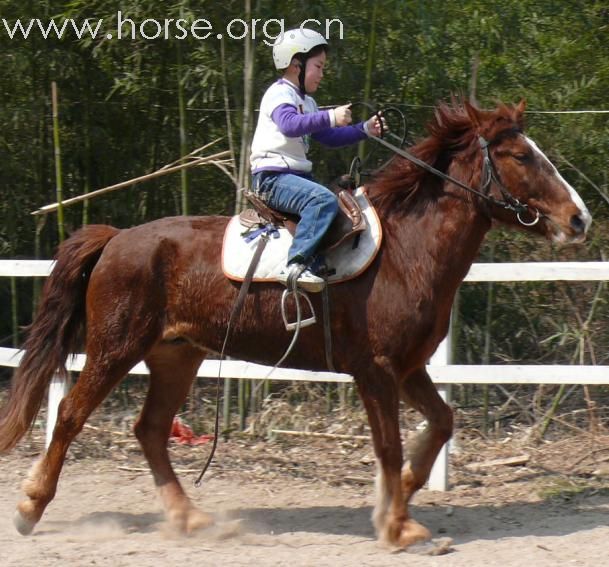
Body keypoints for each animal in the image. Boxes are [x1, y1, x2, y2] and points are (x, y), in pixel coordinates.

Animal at [0, 100, 588, 548]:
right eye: (520, 155)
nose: (579, 218)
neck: (405, 251)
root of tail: (116, 237)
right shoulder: (376, 372)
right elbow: (390, 444)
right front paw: (397, 525)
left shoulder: (408, 368)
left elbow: (441, 423)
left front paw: (399, 495)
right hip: (114, 348)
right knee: (70, 415)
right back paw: (29, 508)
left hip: (176, 355)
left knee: (149, 430)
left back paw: (189, 517)